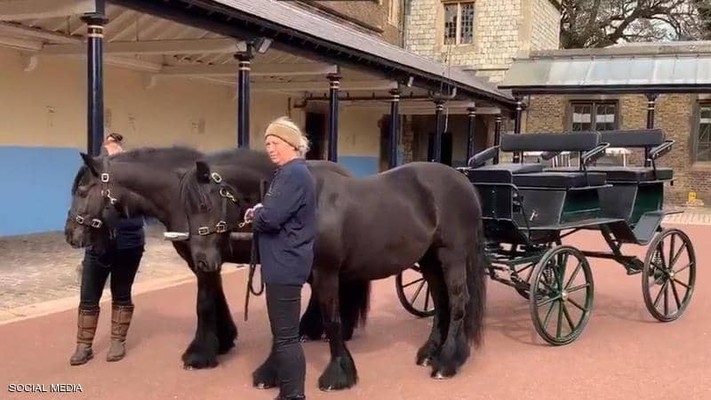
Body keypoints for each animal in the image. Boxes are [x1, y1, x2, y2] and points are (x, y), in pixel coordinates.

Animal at [63, 145, 364, 372]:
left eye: (82, 191)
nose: (70, 234)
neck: (178, 194)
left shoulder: (204, 258)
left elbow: (204, 302)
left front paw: (199, 354)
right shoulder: (204, 258)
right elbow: (215, 296)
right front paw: (223, 340)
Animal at [178, 152, 490, 392]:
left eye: (204, 204)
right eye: (186, 209)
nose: (201, 261)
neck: (304, 203)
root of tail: (464, 183)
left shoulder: (325, 273)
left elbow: (332, 319)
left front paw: (338, 374)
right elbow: (281, 322)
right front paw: (271, 372)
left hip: (451, 256)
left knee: (458, 303)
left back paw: (447, 362)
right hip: (428, 260)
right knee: (440, 303)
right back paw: (431, 353)